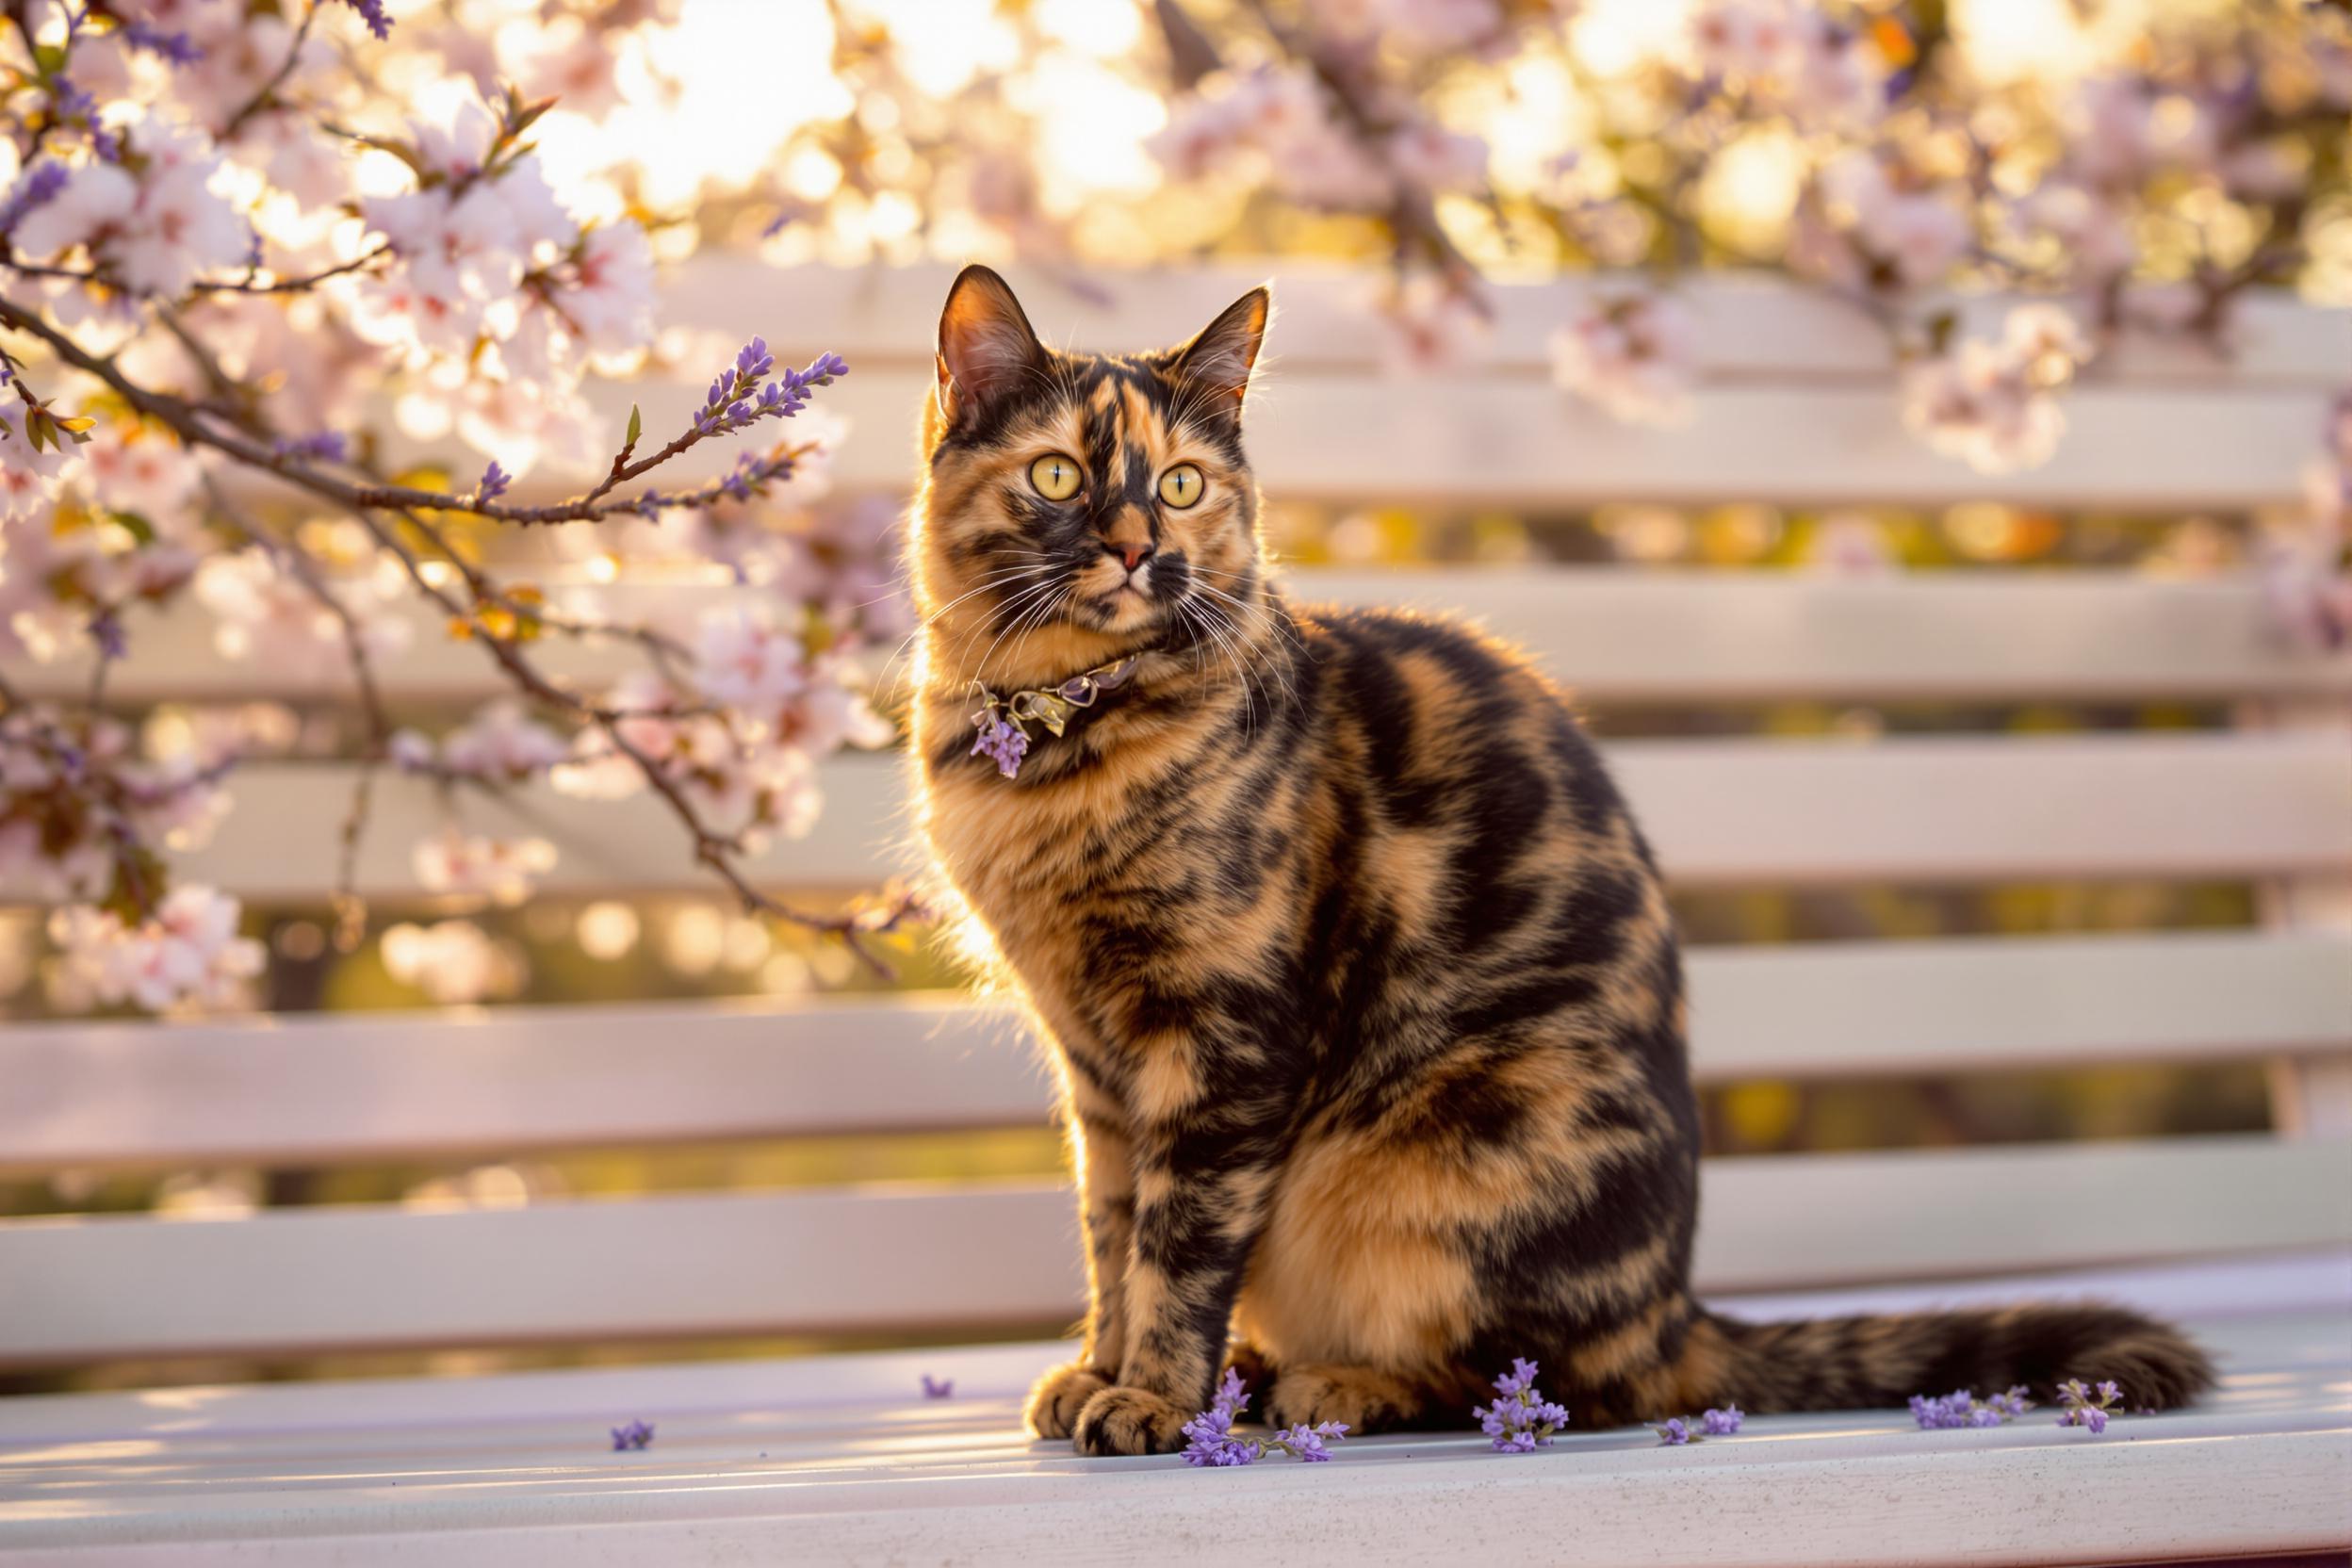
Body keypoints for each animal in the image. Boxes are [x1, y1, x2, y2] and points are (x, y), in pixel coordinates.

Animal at [898, 263, 2201, 1457]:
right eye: (1059, 474)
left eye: (1181, 484)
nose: (1133, 547)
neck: (1060, 729)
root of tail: (1676, 1312)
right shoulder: (1095, 1066)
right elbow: (1112, 1235)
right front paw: (1096, 1368)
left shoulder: (1222, 1040)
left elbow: (1176, 1247)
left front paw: (1157, 1400)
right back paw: (1261, 1372)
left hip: (1446, 1168)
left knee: (1539, 1384)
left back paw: (1333, 1383)